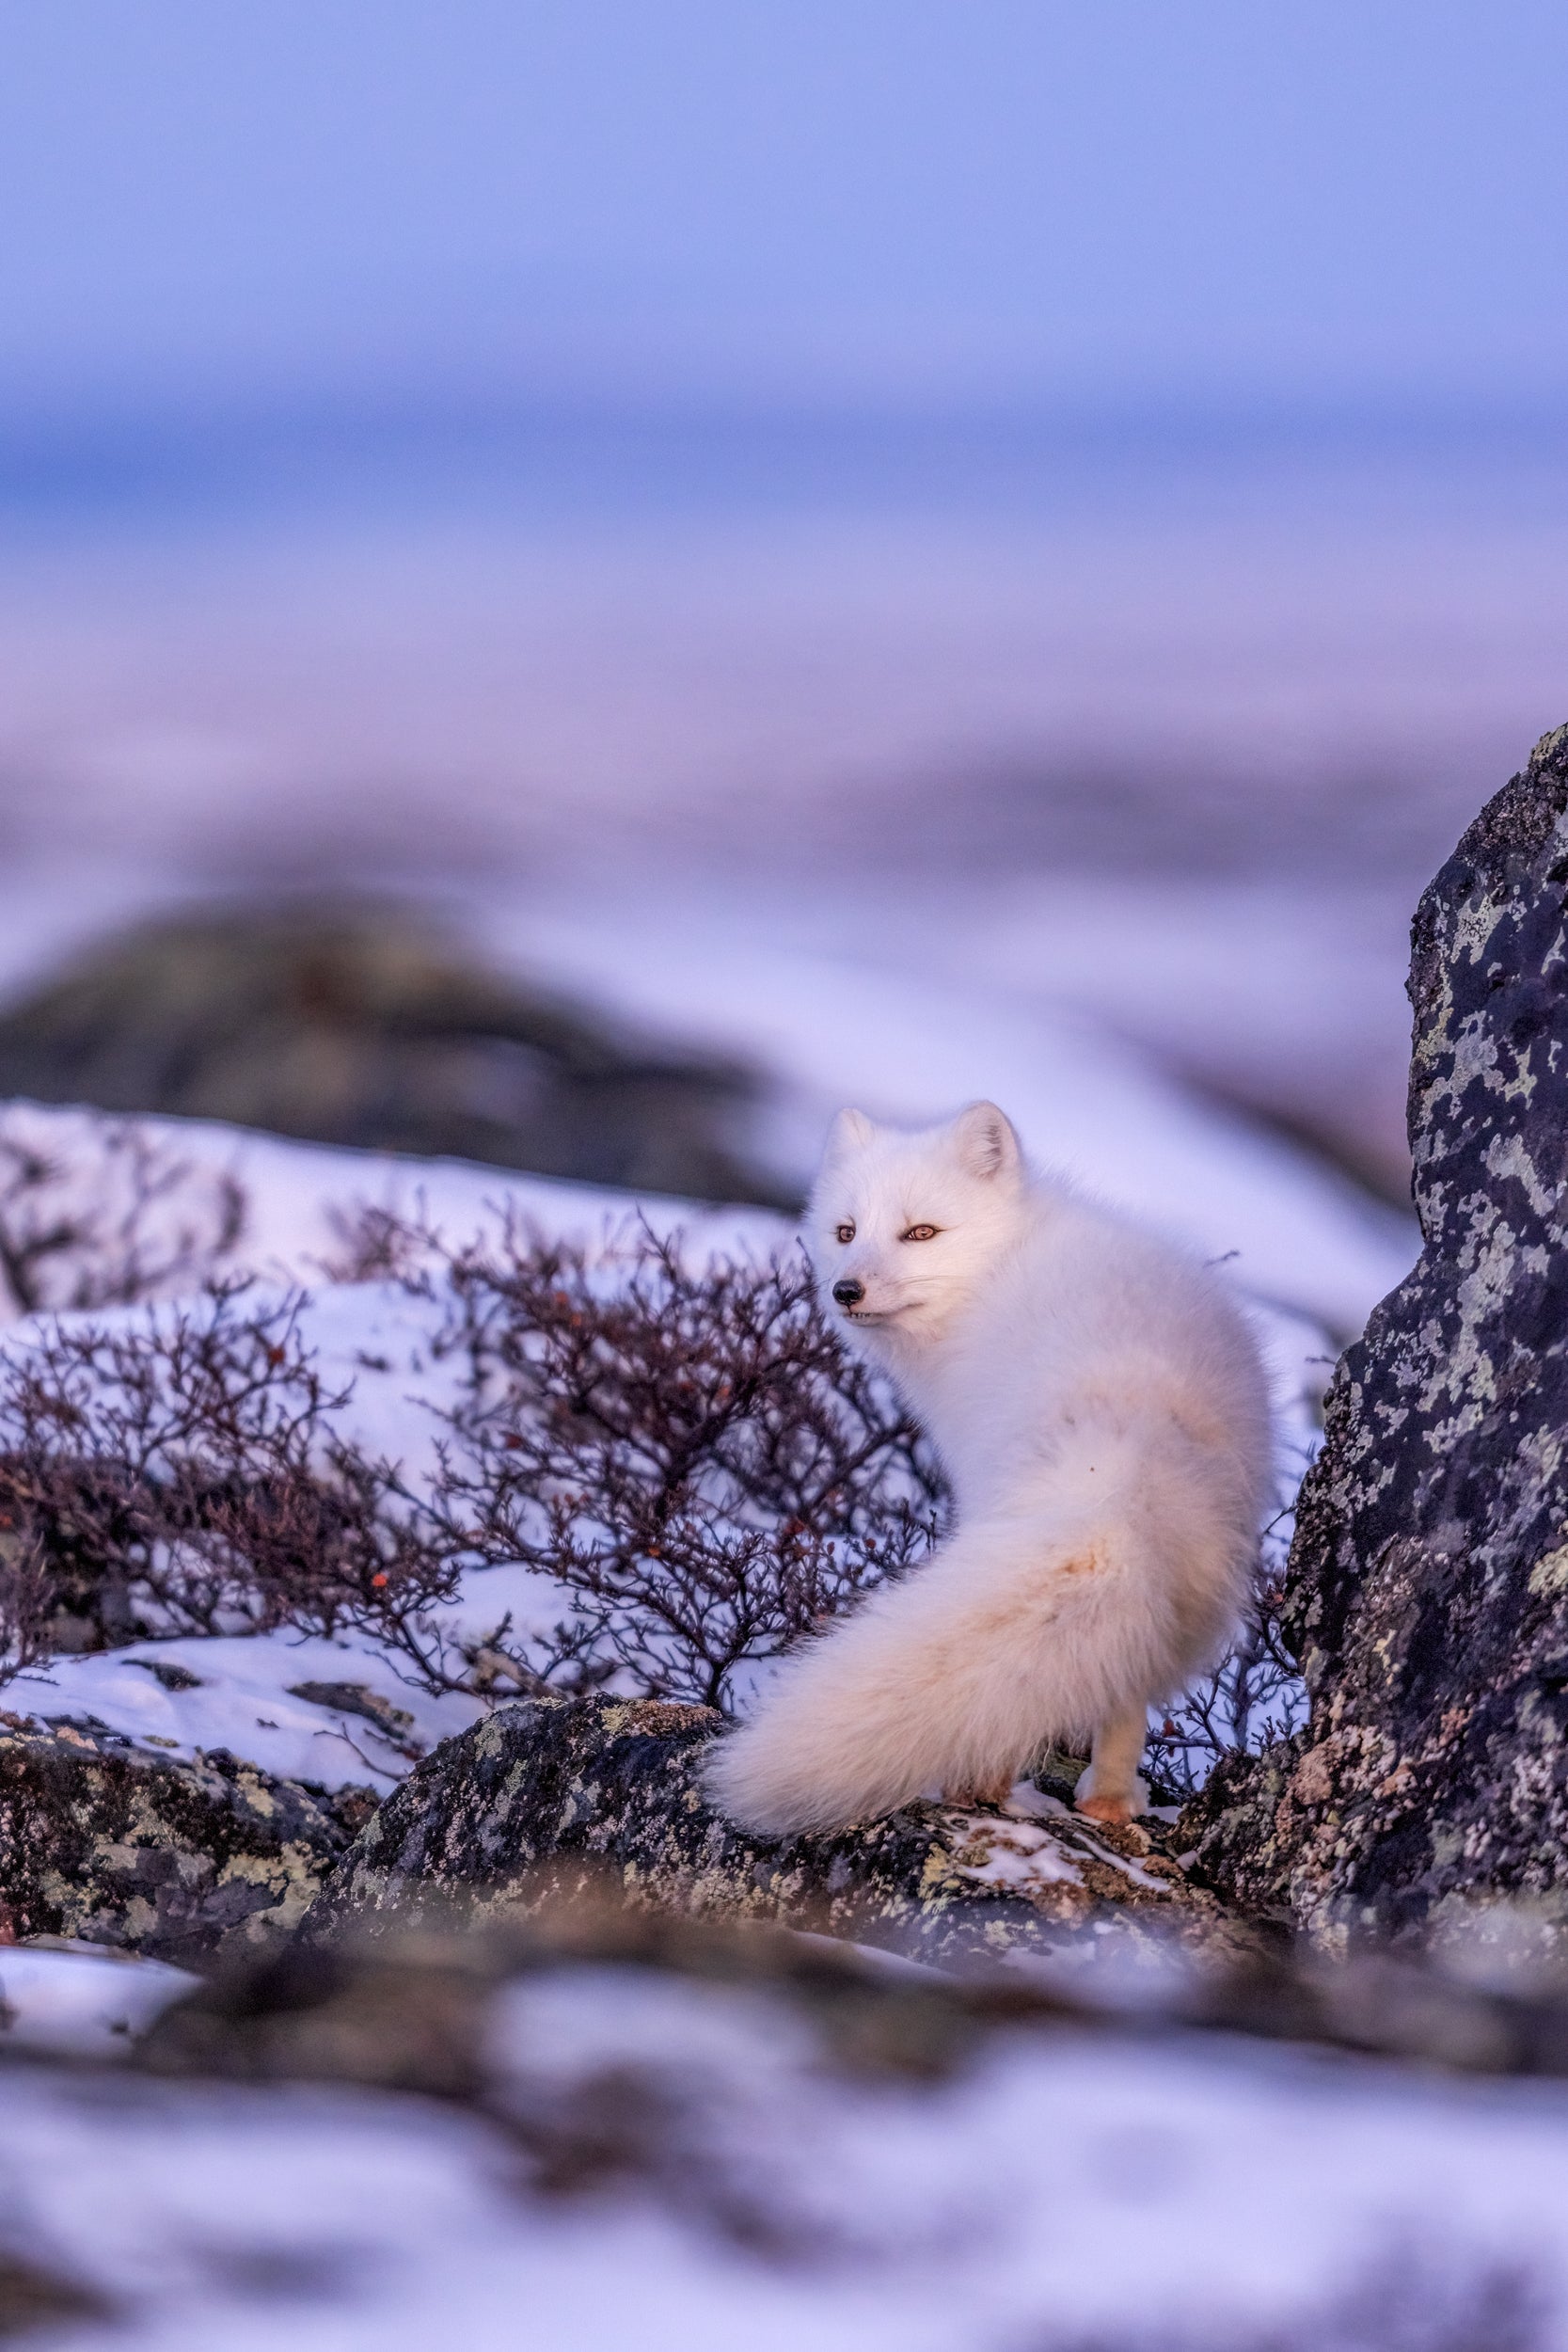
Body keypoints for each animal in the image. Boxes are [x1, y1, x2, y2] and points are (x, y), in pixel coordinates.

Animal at [704, 1100, 1273, 1836]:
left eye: (920, 1232)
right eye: (845, 1231)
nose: (845, 1290)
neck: (995, 1268)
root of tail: (1119, 1469)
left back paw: (981, 1790)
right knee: (1125, 1688)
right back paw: (1108, 1802)